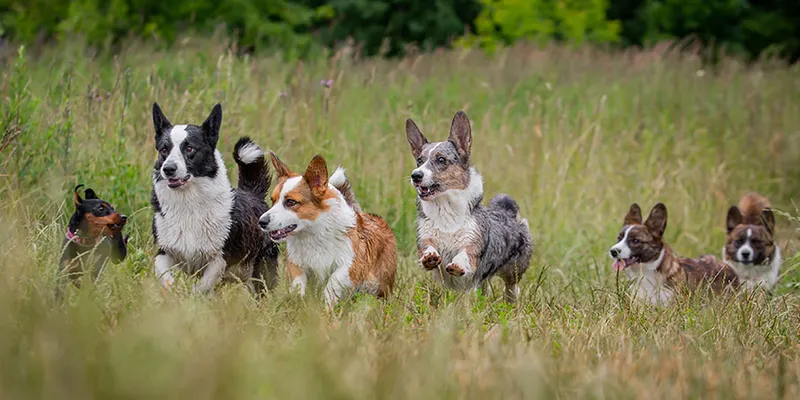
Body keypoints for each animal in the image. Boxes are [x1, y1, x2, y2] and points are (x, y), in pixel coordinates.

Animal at [152, 103, 280, 296]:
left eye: (189, 149)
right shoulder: (164, 252)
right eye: (164, 150)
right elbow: (165, 278)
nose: (168, 169)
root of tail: (252, 194)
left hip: (260, 274)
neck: (188, 203)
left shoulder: (219, 259)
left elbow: (202, 287)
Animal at [260, 153, 396, 306]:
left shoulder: (349, 265)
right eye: (273, 200)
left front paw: (327, 305)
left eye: (290, 202)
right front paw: (298, 300)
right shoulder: (296, 262)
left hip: (381, 286)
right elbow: (298, 282)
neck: (314, 233)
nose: (261, 222)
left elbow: (333, 282)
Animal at [406, 111, 532, 302]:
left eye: (441, 159)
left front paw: (457, 265)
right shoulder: (425, 237)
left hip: (514, 270)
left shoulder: (472, 243)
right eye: (419, 160)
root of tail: (507, 210)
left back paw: (511, 302)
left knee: (511, 286)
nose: (416, 175)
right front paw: (430, 257)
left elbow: (465, 254)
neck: (445, 208)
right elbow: (428, 248)